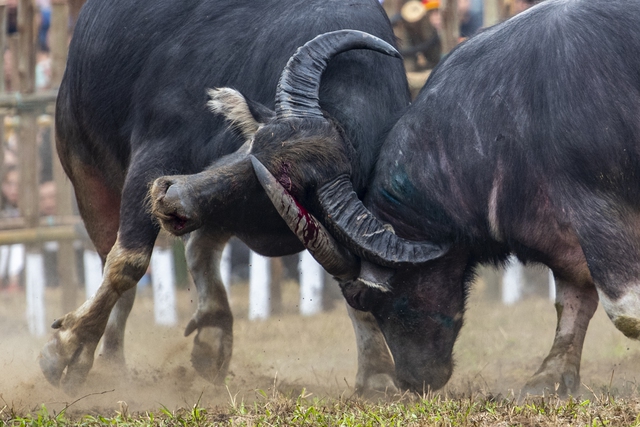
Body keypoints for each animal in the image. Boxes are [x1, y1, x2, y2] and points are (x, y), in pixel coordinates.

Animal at [40, 0, 410, 394]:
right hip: (86, 171)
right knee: (114, 261)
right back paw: (112, 363)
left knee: (197, 246)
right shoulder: (153, 158)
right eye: (250, 147)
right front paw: (68, 350)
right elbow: (128, 263)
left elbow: (354, 286)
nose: (168, 196)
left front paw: (377, 372)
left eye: (271, 190)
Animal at [158, 0, 640, 396]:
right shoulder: (562, 237)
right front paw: (549, 380)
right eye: (248, 148)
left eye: (367, 300)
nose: (414, 381)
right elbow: (574, 302)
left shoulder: (596, 212)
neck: (506, 121)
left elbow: (624, 312)